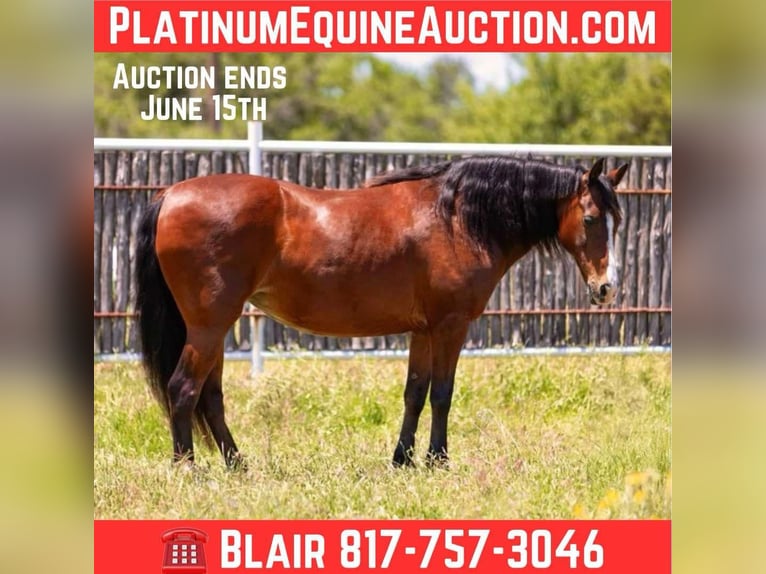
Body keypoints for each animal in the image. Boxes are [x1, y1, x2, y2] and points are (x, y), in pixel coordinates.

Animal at [135, 155, 627, 469]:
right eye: (590, 219)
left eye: (617, 220)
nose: (607, 288)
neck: (457, 218)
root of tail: (171, 194)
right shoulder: (450, 327)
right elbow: (443, 394)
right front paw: (438, 461)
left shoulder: (423, 331)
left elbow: (415, 392)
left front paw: (403, 460)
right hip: (208, 326)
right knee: (183, 389)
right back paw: (187, 468)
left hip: (214, 329)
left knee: (211, 397)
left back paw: (238, 464)